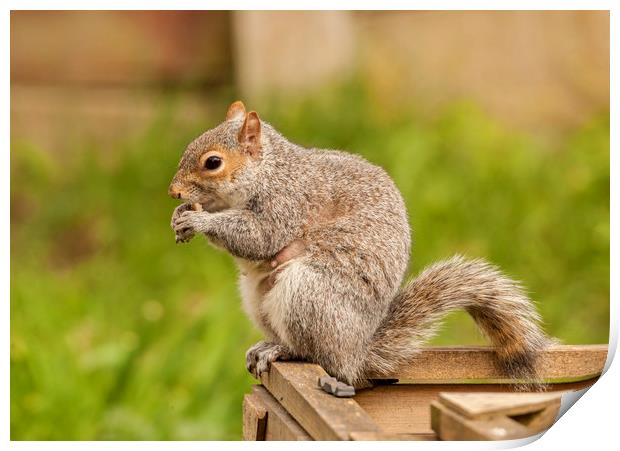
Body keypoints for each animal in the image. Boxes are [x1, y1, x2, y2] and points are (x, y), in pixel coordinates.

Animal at [167, 100, 548, 390]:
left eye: (213, 162)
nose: (174, 192)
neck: (271, 171)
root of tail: (357, 351)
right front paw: (180, 217)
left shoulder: (288, 203)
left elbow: (259, 237)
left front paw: (199, 221)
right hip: (258, 299)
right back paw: (268, 345)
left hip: (308, 296)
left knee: (320, 357)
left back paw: (284, 351)